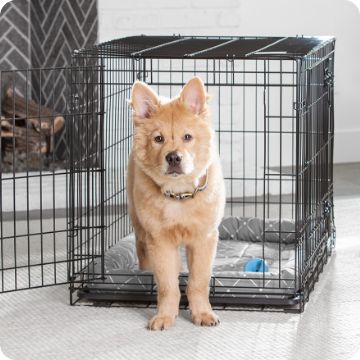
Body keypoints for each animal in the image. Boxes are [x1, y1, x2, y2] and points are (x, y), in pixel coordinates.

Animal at [127, 77, 225, 330]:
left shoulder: (203, 239)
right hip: (139, 226)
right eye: (158, 139)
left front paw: (203, 314)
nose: (173, 157)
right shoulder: (159, 241)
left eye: (188, 137)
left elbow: (198, 282)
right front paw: (164, 317)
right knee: (142, 251)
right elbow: (167, 286)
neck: (180, 195)